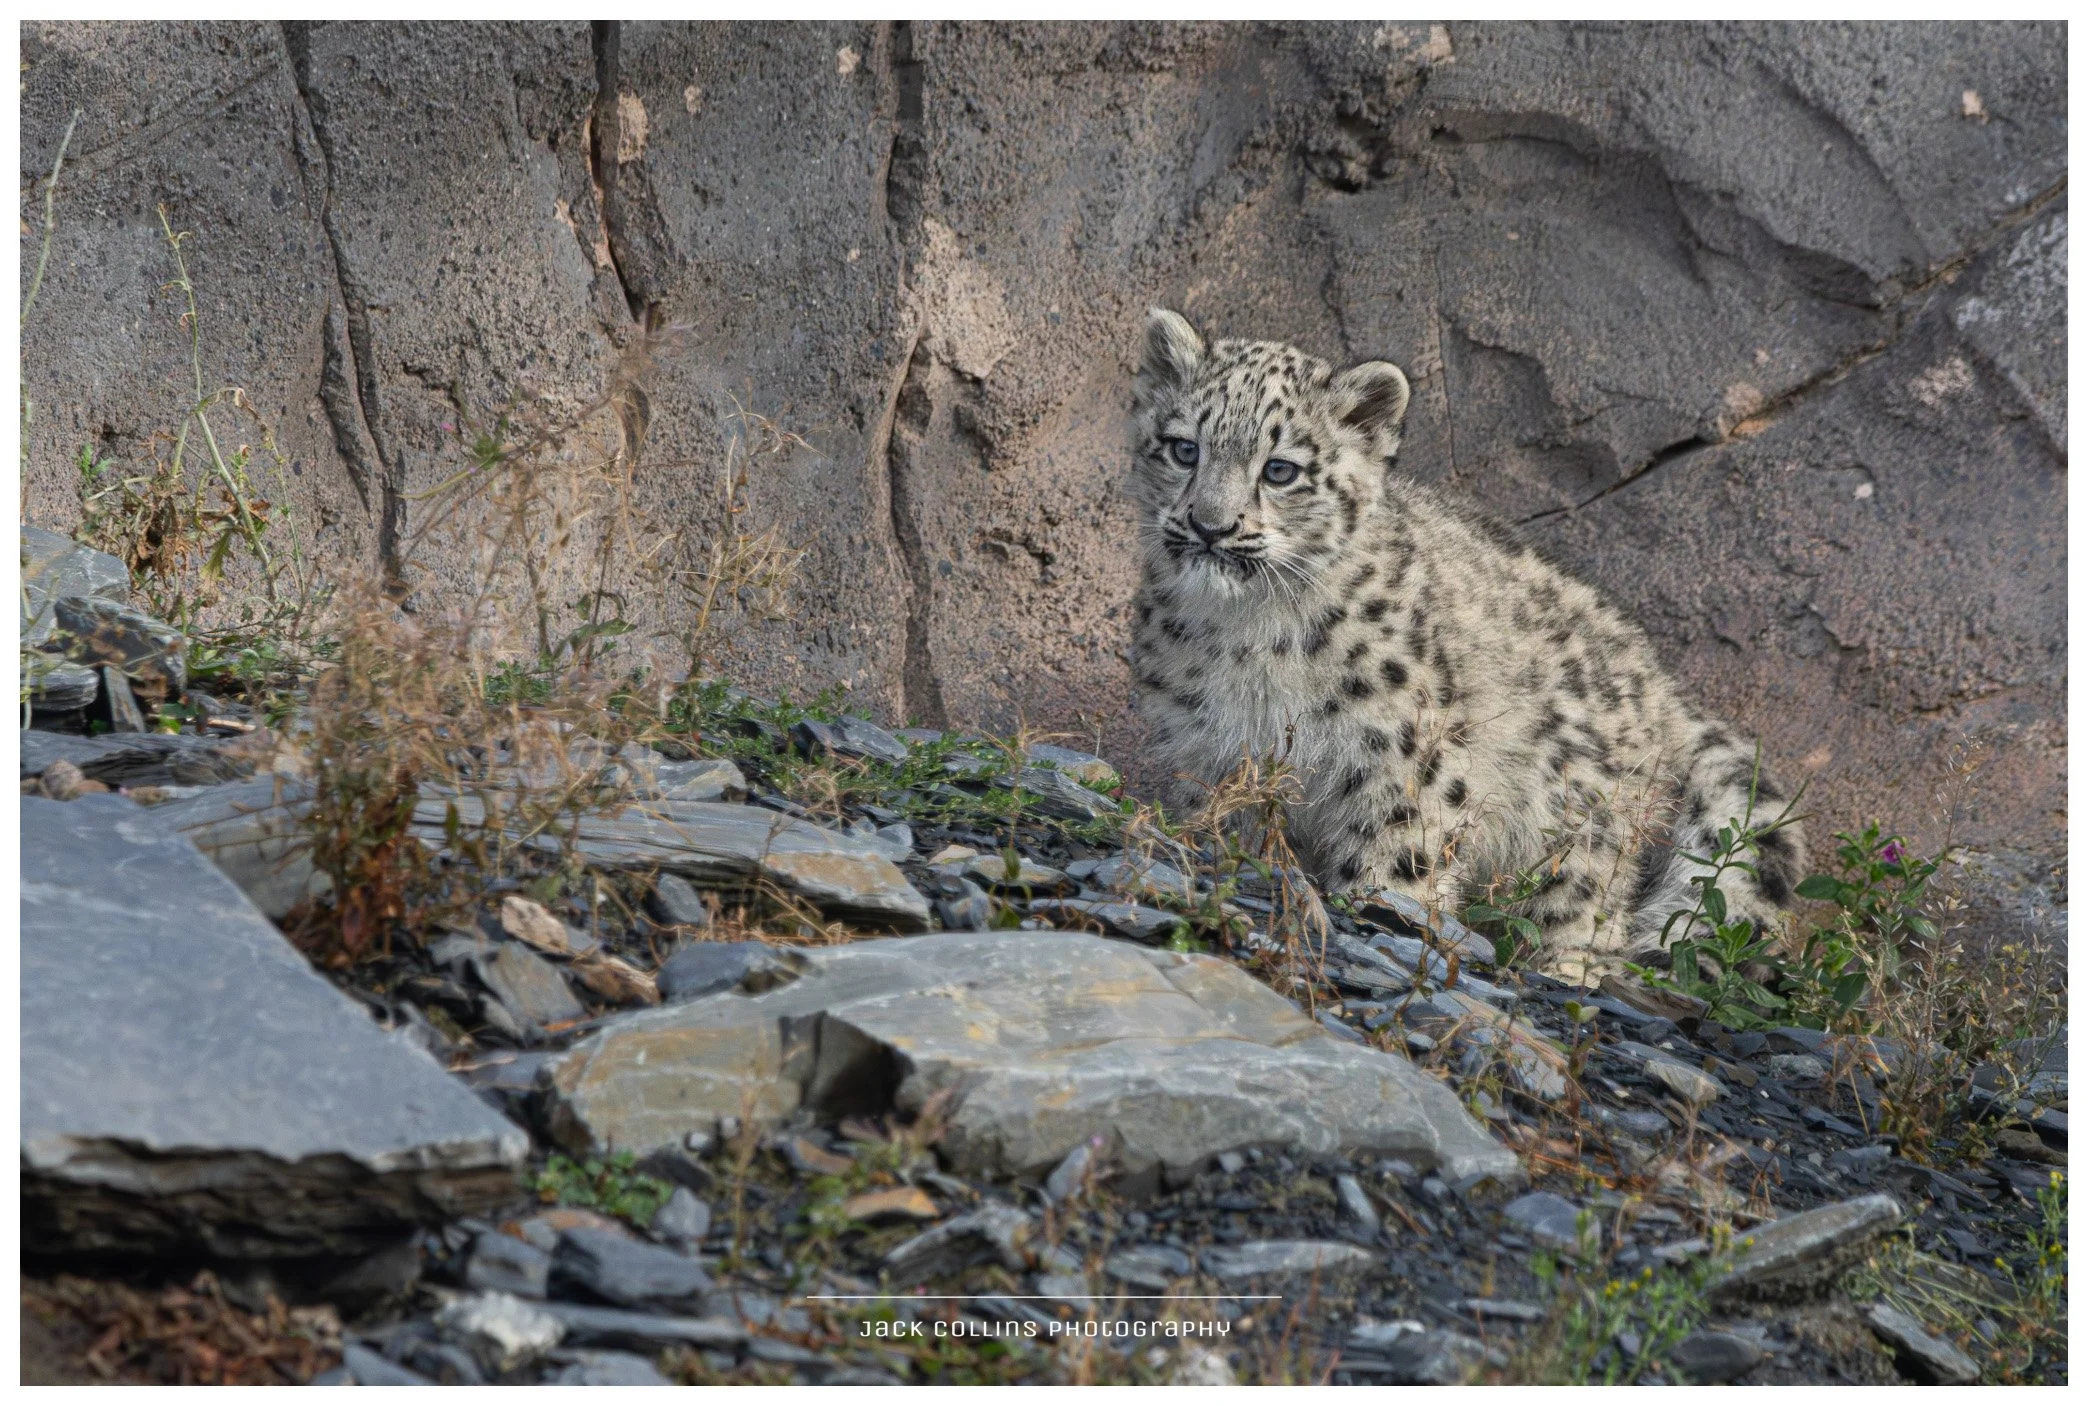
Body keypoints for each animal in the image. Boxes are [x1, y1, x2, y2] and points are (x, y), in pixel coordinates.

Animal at [1123, 307, 1804, 983]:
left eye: (1280, 469)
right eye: (1185, 448)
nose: (1210, 526)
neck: (1246, 639)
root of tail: (1661, 684)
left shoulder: (1402, 745)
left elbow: (1402, 844)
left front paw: (1384, 907)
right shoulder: (1208, 746)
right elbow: (1224, 821)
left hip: (1583, 820)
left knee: (1585, 904)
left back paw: (1565, 966)